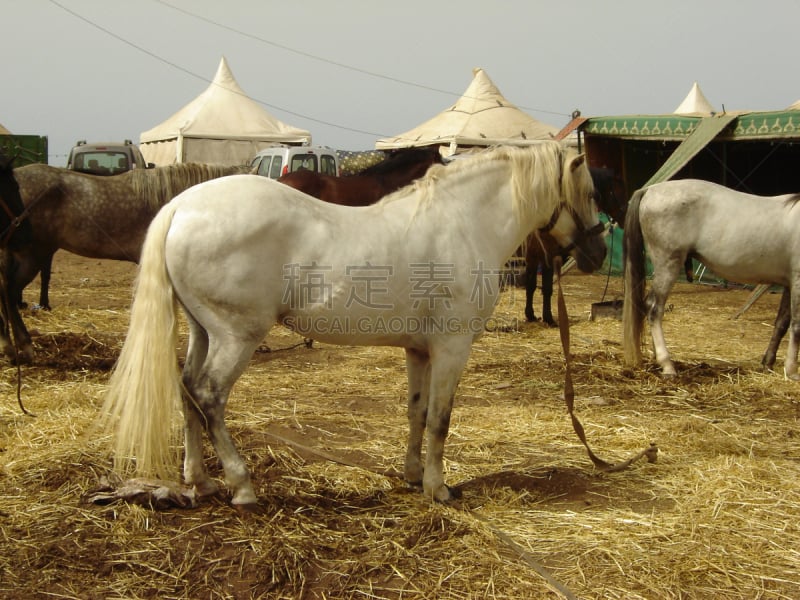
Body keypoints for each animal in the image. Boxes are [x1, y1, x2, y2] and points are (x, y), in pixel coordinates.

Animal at [520, 166, 628, 326]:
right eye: (617, 191)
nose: (625, 216)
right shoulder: (540, 255)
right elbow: (543, 286)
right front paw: (547, 318)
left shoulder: (539, 255)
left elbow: (534, 285)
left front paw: (532, 315)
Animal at [620, 177, 800, 380]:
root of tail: (649, 189)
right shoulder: (798, 281)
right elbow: (796, 325)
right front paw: (792, 371)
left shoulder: (789, 283)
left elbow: (781, 324)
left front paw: (768, 363)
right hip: (668, 264)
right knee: (654, 308)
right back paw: (667, 364)